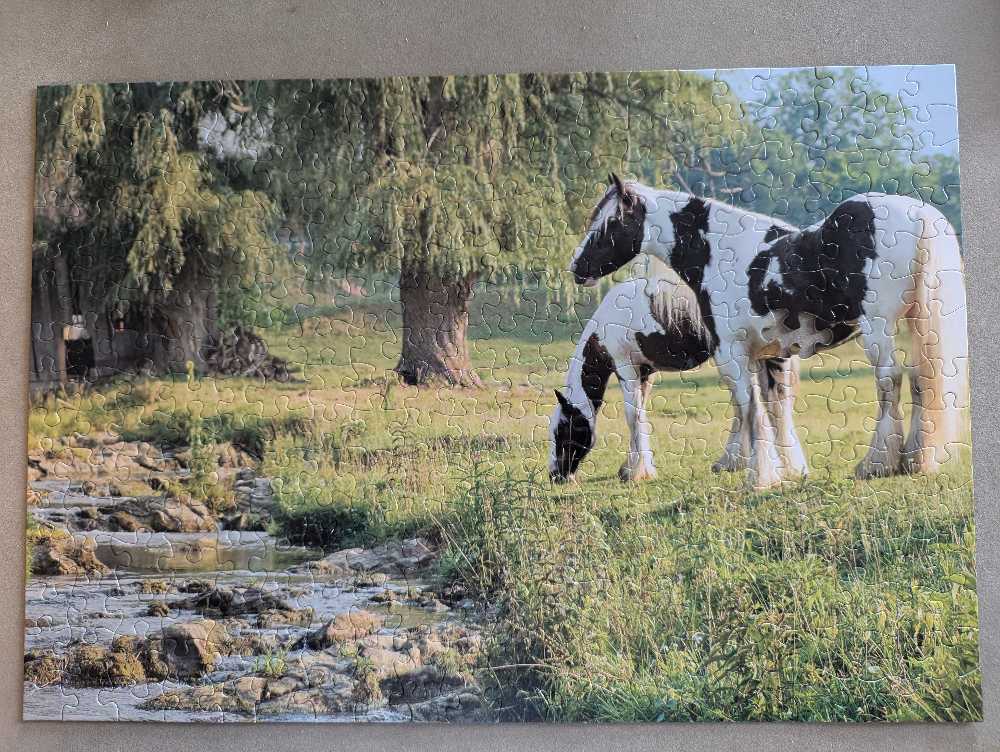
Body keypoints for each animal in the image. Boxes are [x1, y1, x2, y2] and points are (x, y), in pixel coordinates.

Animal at [549, 258, 806, 483]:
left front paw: (637, 473)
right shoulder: (645, 372)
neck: (606, 324)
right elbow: (640, 413)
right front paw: (631, 468)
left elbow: (633, 416)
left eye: (564, 428)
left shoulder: (626, 368)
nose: (556, 475)